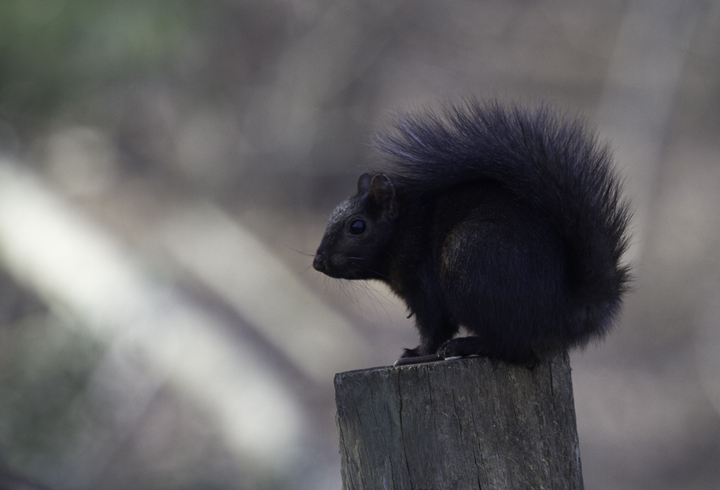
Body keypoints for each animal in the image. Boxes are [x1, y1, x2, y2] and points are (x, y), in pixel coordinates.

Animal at [313, 100, 631, 365]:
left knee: (514, 348)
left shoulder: (423, 283)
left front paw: (415, 353)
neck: (403, 230)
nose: (318, 262)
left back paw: (465, 346)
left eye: (357, 227)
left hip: (470, 264)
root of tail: (564, 312)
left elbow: (436, 326)